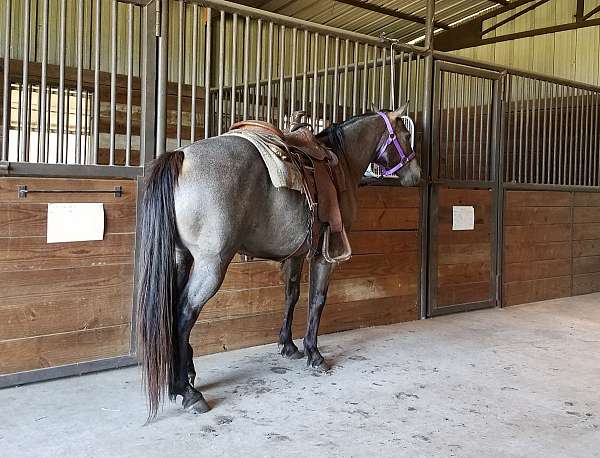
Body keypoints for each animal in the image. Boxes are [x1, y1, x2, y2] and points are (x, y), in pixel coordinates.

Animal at [135, 104, 422, 418]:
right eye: (406, 135)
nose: (416, 175)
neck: (341, 162)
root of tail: (182, 156)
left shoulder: (296, 254)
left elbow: (291, 295)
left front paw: (288, 345)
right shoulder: (324, 256)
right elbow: (317, 300)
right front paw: (314, 354)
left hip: (181, 259)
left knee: (174, 310)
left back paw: (183, 377)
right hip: (211, 266)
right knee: (185, 312)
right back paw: (187, 391)